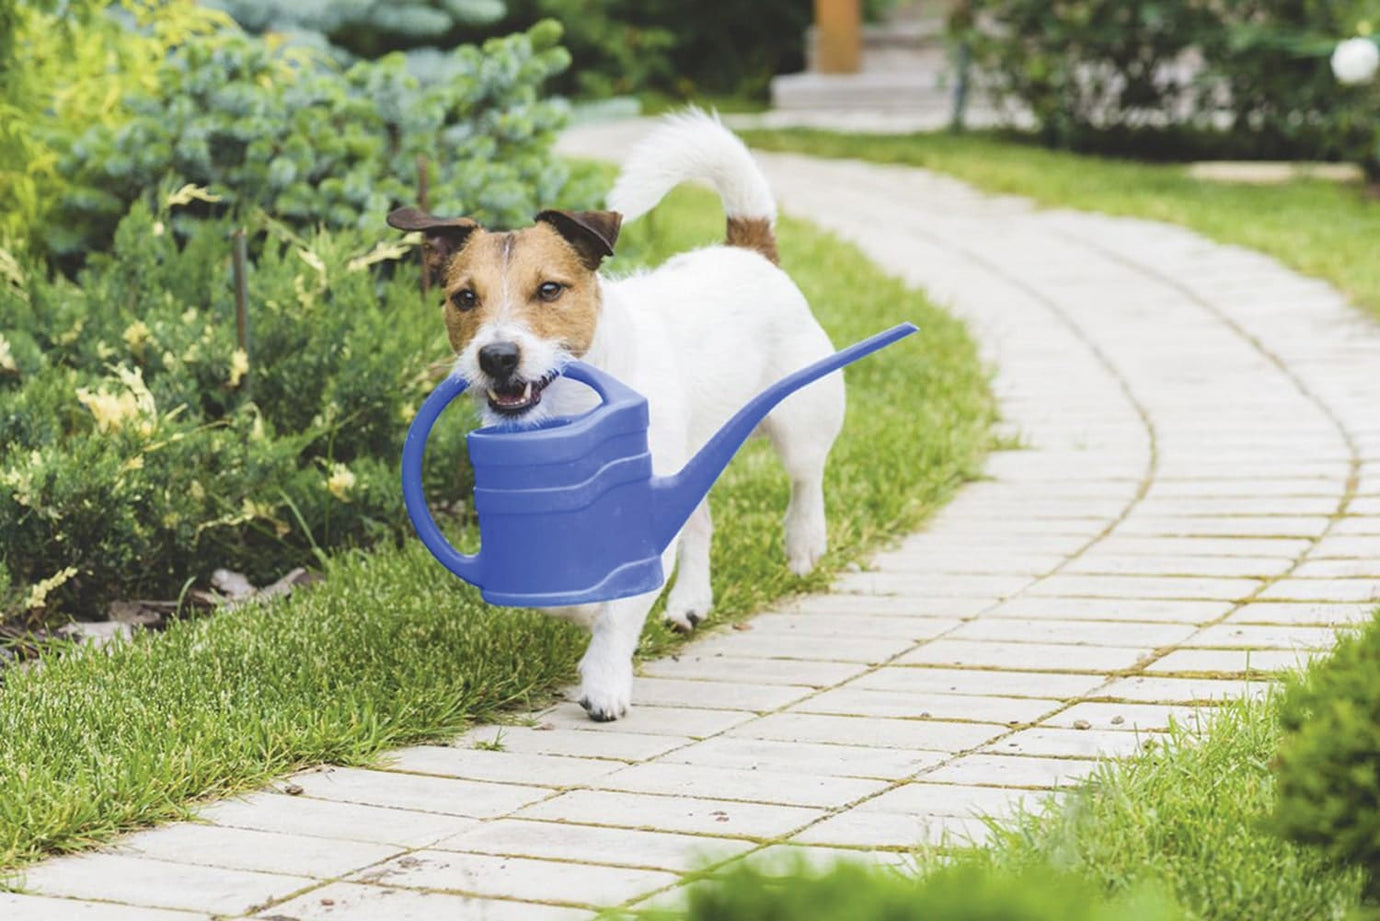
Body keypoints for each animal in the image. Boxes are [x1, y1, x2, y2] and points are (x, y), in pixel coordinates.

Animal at [386, 111, 839, 723]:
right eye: (463, 298)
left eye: (549, 289)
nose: (497, 356)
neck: (566, 408)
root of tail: (748, 249)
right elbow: (575, 594)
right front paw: (583, 609)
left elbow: (618, 611)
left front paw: (603, 681)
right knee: (700, 521)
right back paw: (690, 600)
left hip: (799, 417)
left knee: (805, 476)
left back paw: (803, 542)